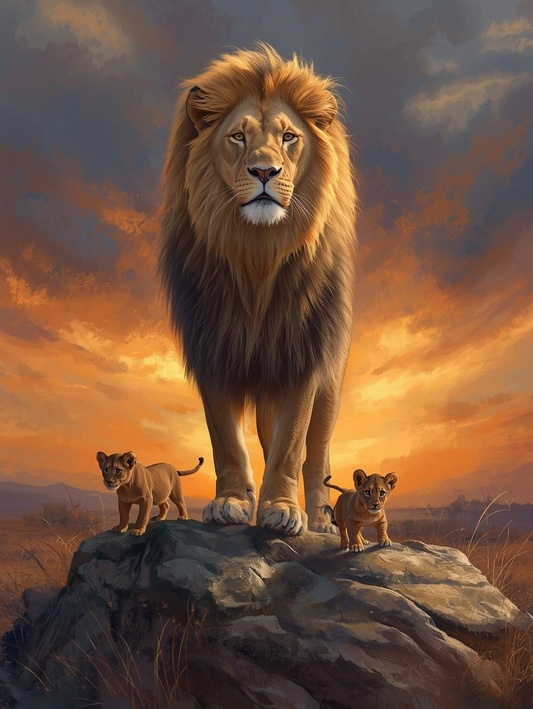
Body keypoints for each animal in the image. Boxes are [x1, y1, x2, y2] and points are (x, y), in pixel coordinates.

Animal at [159, 42, 357, 536]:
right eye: (237, 137)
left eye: (288, 137)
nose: (265, 171)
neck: (257, 257)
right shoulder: (212, 346)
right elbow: (226, 439)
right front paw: (231, 501)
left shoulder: (305, 355)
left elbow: (292, 445)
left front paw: (282, 509)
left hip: (330, 384)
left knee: (316, 455)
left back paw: (321, 520)